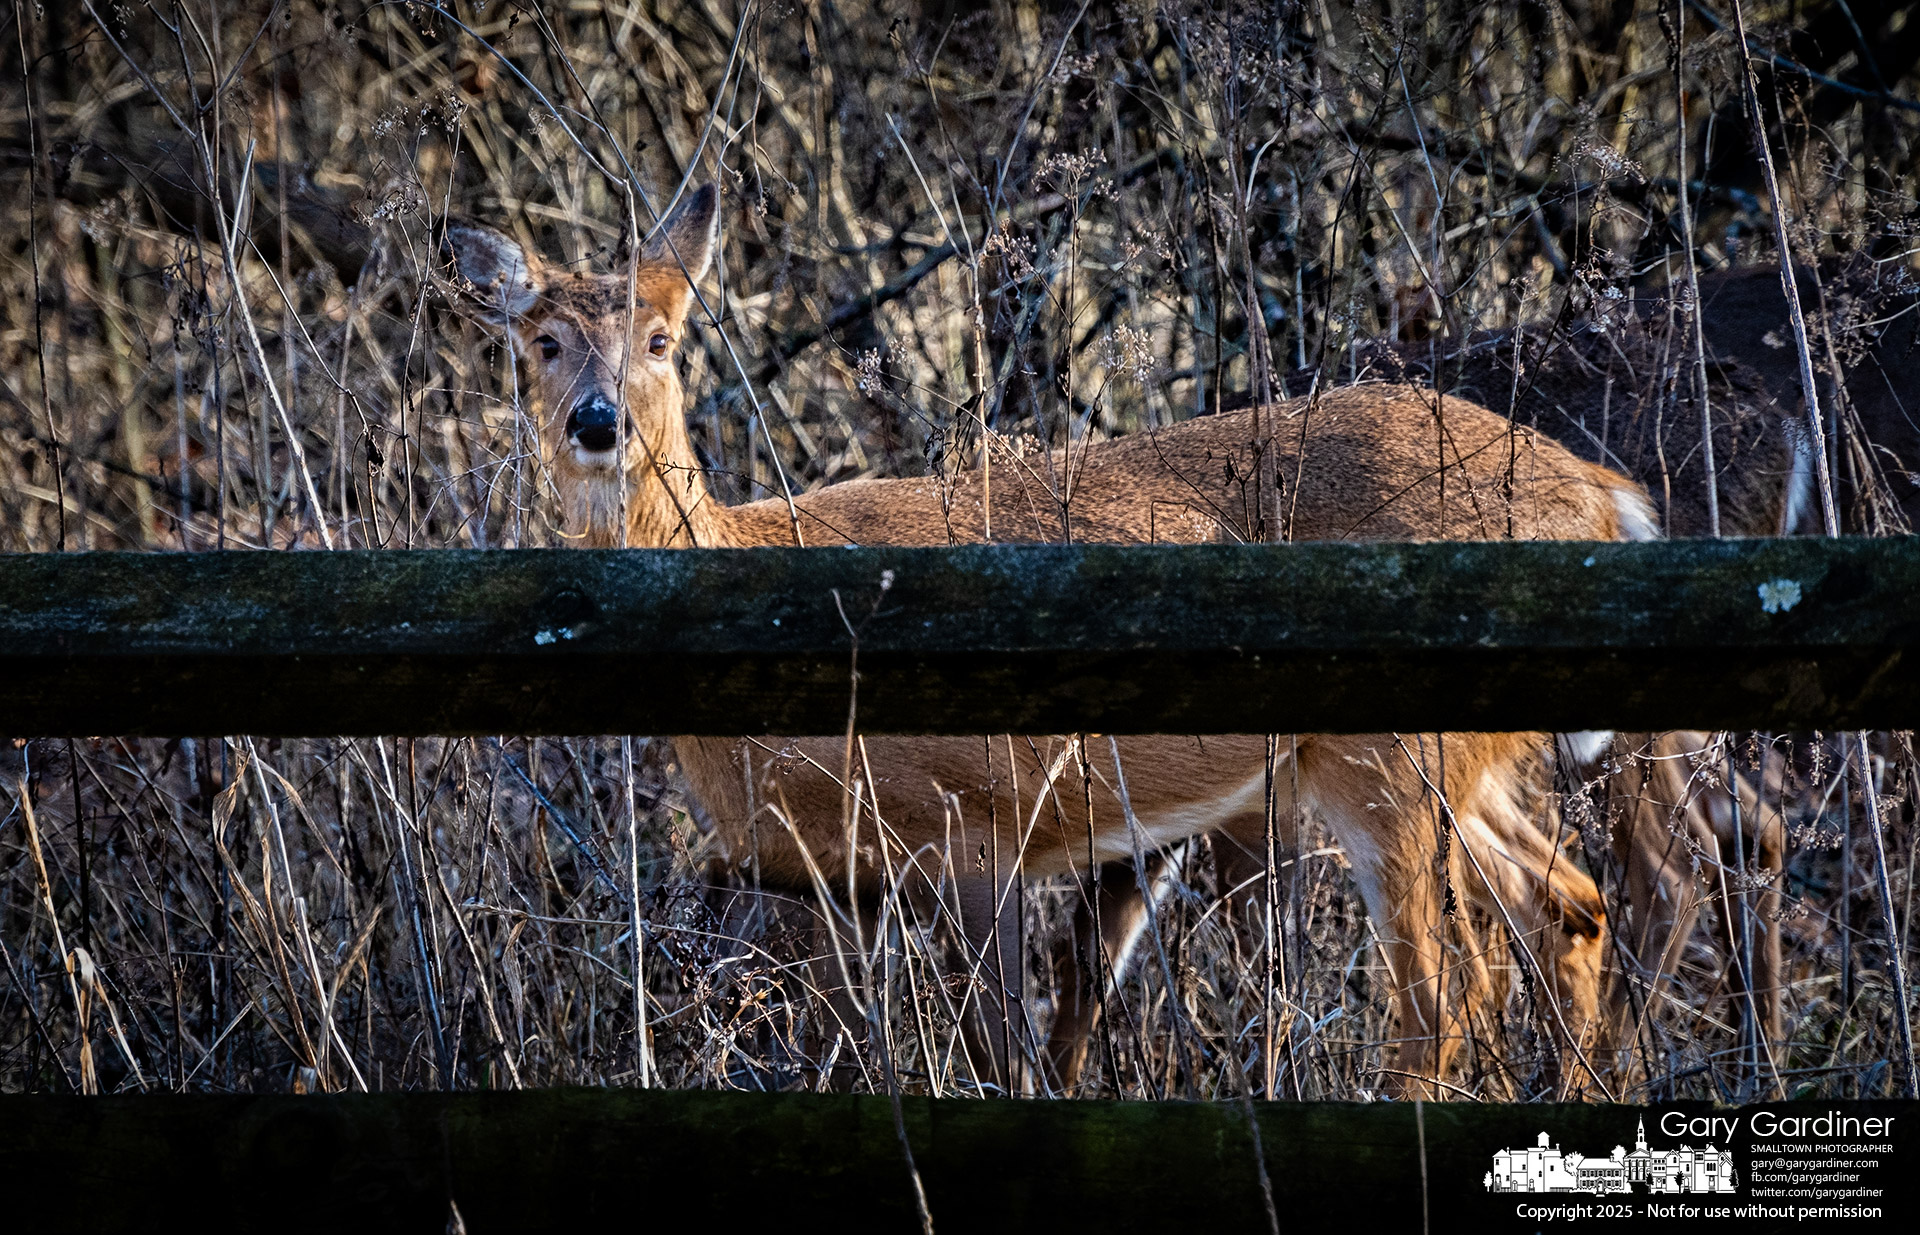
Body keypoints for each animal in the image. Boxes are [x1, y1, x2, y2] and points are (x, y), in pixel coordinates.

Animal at [441, 186, 1658, 1098]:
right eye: (540, 342)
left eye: (659, 338)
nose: (597, 422)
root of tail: (1601, 494)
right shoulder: (822, 871)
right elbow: (862, 1054)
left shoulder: (979, 815)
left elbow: (1006, 1054)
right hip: (1454, 765)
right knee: (1571, 909)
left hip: (1389, 758)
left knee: (1443, 997)